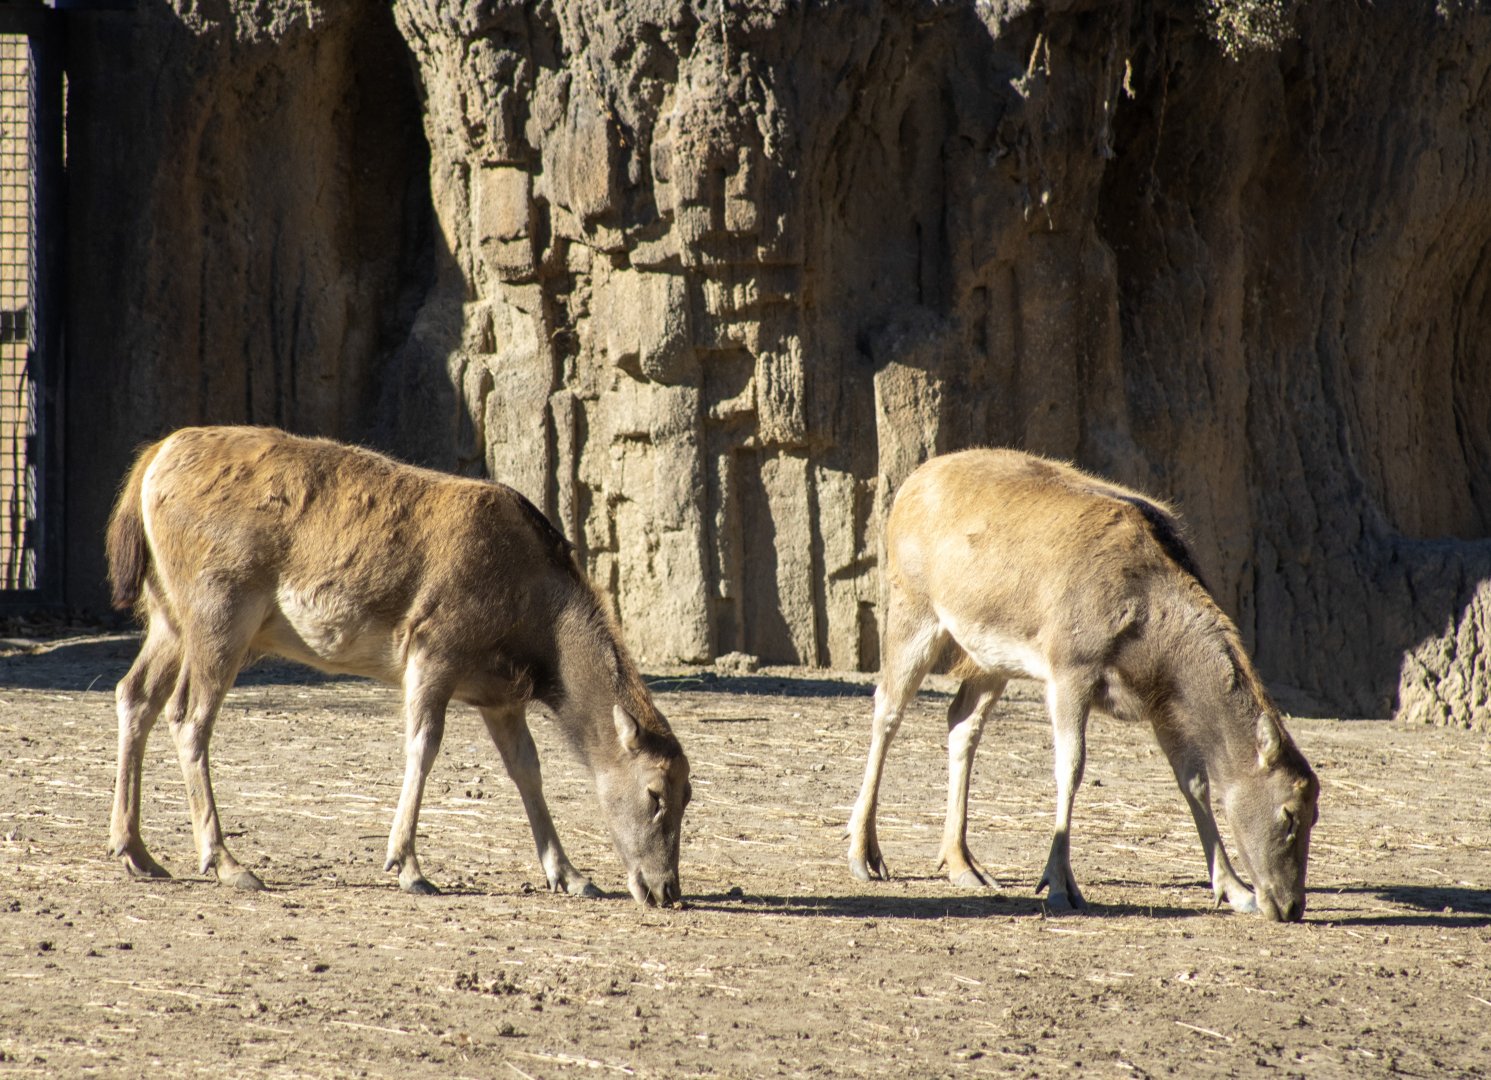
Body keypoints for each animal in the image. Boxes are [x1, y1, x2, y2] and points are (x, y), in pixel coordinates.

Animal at [105, 425, 690, 905]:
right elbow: (423, 745)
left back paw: (135, 851)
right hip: (220, 609)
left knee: (134, 693)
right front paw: (408, 867)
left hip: (166, 615)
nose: (665, 890)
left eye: (689, 794)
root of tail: (151, 464)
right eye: (656, 794)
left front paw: (571, 876)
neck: (534, 624)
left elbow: (527, 768)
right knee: (188, 715)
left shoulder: (499, 695)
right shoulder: (434, 646)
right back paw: (227, 863)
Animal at [847, 448, 1318, 922]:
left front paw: (1235, 890)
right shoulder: (1070, 665)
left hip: (989, 657)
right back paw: (864, 856)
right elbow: (1070, 766)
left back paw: (964, 866)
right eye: (1289, 814)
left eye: (1316, 812)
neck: (1151, 637)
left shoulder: (1160, 701)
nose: (1290, 904)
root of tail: (910, 485)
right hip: (912, 607)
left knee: (962, 721)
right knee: (887, 708)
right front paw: (1059, 885)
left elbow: (1193, 781)